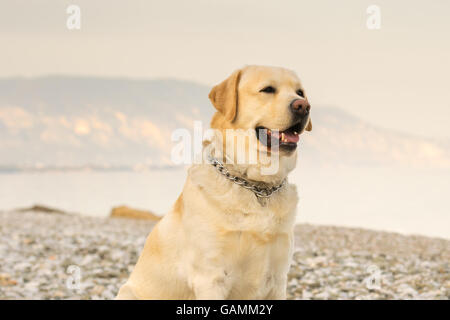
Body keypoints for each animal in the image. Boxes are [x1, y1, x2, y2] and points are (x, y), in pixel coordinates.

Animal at [116, 65, 312, 300]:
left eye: (300, 92)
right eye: (267, 89)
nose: (303, 106)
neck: (256, 185)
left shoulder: (278, 278)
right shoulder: (211, 277)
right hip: (128, 292)